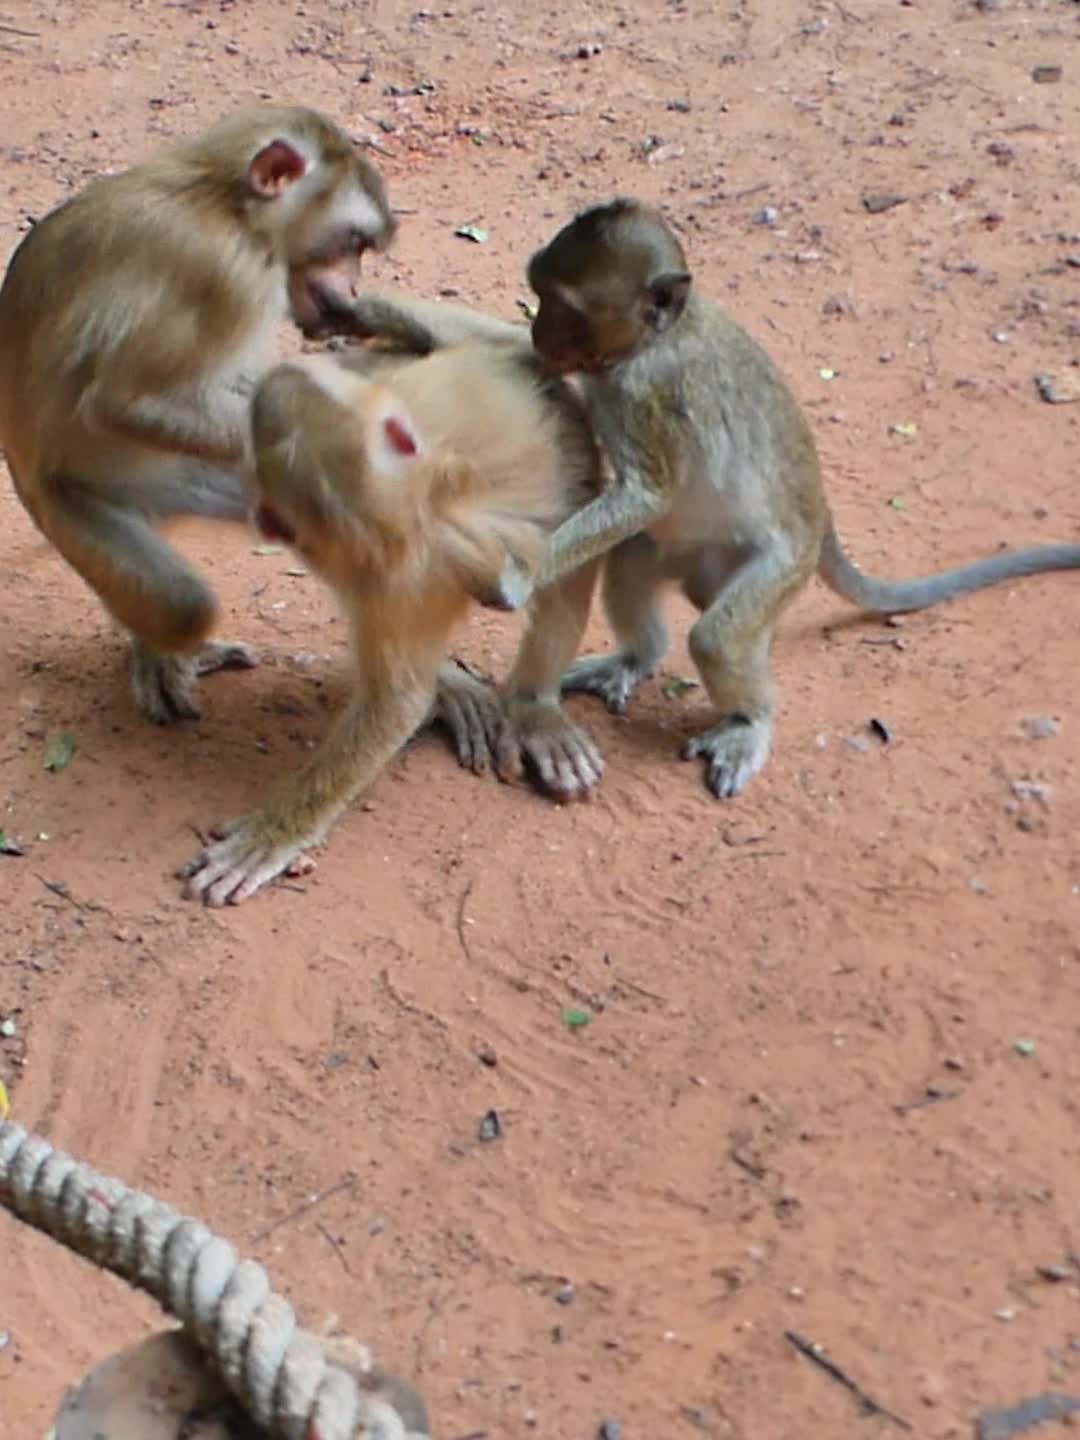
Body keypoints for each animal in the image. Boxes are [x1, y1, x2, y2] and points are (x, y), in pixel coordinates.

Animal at [0, 105, 396, 726]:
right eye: (352, 241)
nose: (354, 288)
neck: (228, 204)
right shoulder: (222, 271)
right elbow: (127, 402)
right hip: (64, 506)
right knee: (180, 605)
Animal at [178, 336, 602, 904]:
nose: (279, 380)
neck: (411, 510)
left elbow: (394, 701)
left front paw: (278, 831)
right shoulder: (385, 572)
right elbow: (398, 695)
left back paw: (534, 706)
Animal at [463, 196, 1080, 801]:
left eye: (566, 307)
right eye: (538, 290)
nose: (539, 333)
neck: (654, 340)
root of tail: (819, 517)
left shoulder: (648, 392)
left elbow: (644, 495)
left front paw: (515, 577)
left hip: (780, 571)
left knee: (716, 637)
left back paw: (750, 722)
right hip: (687, 559)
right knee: (632, 562)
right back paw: (636, 658)